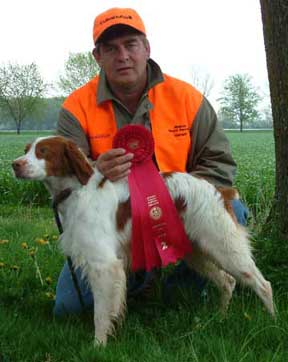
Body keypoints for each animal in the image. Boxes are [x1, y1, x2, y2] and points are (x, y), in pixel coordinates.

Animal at [12, 135, 274, 346]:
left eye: (43, 151)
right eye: (26, 149)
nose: (15, 165)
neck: (77, 190)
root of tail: (218, 190)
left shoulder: (104, 265)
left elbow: (101, 313)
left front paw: (98, 345)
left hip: (224, 245)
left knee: (262, 284)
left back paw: (273, 321)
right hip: (197, 251)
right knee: (228, 281)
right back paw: (220, 317)